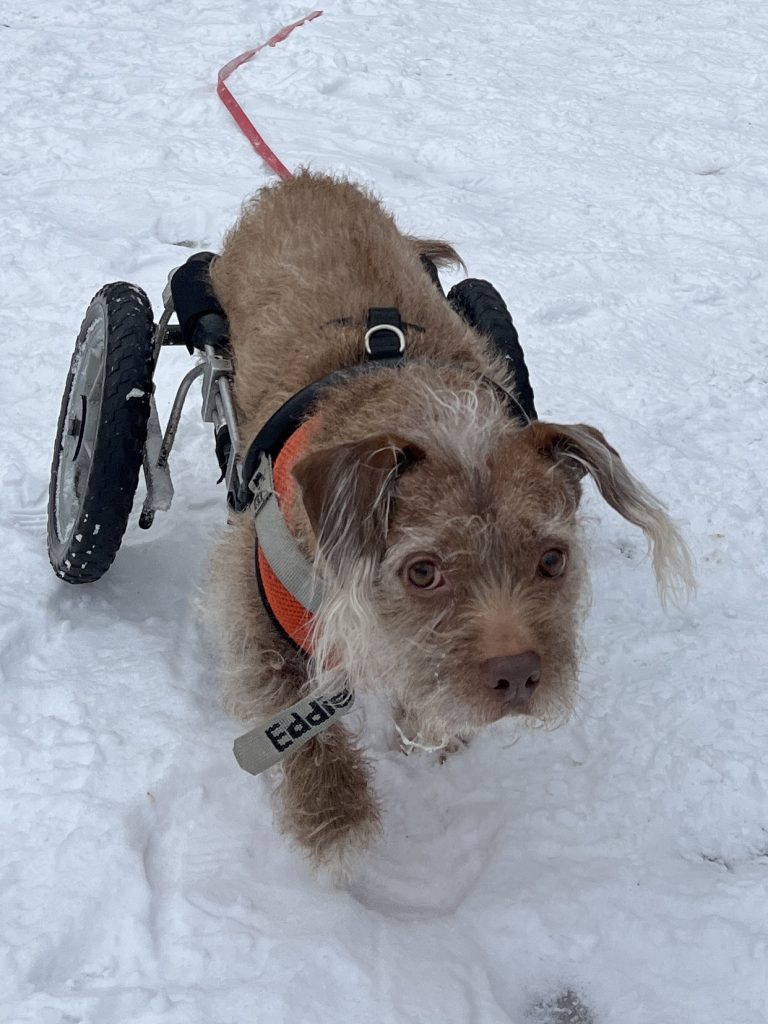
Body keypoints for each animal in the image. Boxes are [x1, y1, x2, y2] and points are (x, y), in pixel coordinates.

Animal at [205, 172, 696, 876]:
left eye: (553, 559)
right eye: (423, 571)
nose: (517, 676)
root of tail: (304, 179)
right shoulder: (256, 607)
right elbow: (296, 725)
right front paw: (334, 818)